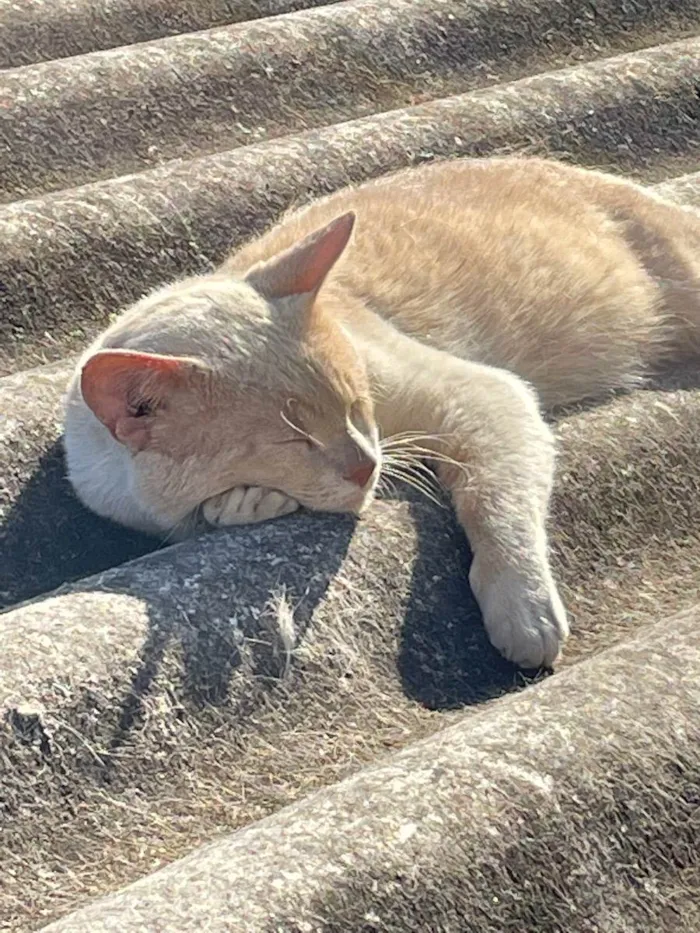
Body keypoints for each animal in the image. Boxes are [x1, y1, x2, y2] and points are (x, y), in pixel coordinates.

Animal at [63, 157, 700, 668]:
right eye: (292, 442)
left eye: (355, 404)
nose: (364, 465)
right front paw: (243, 503)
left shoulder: (484, 395)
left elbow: (496, 501)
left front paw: (524, 609)